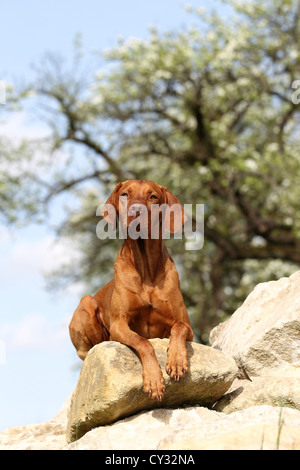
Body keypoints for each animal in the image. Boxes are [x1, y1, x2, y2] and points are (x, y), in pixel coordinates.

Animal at [69, 180, 193, 400]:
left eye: (153, 196)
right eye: (125, 194)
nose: (136, 211)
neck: (146, 268)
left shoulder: (188, 326)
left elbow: (179, 327)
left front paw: (177, 360)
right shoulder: (119, 324)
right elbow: (143, 342)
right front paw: (154, 379)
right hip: (87, 302)